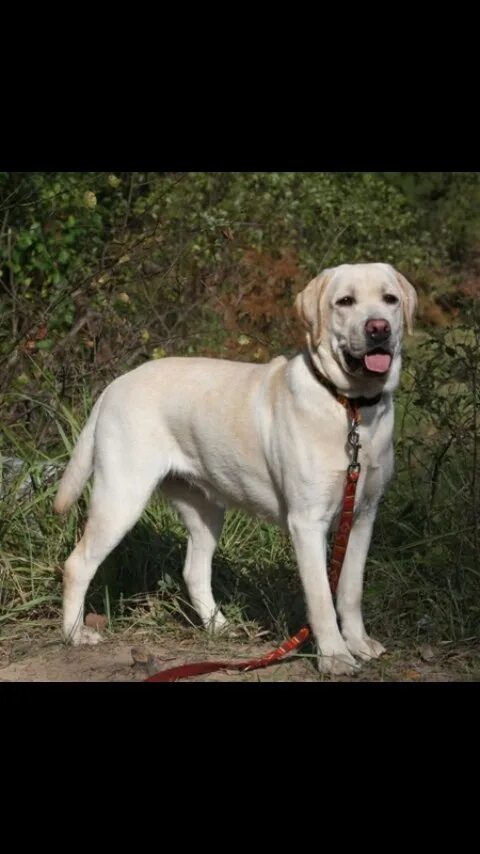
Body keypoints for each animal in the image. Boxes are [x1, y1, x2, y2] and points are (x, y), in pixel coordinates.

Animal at [55, 260, 416, 676]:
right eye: (345, 301)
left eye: (389, 299)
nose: (379, 328)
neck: (350, 407)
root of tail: (114, 385)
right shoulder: (307, 523)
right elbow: (322, 598)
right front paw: (335, 656)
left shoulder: (362, 515)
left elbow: (350, 591)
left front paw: (358, 644)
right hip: (121, 497)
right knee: (77, 564)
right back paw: (74, 634)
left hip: (205, 509)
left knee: (194, 570)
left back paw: (219, 627)